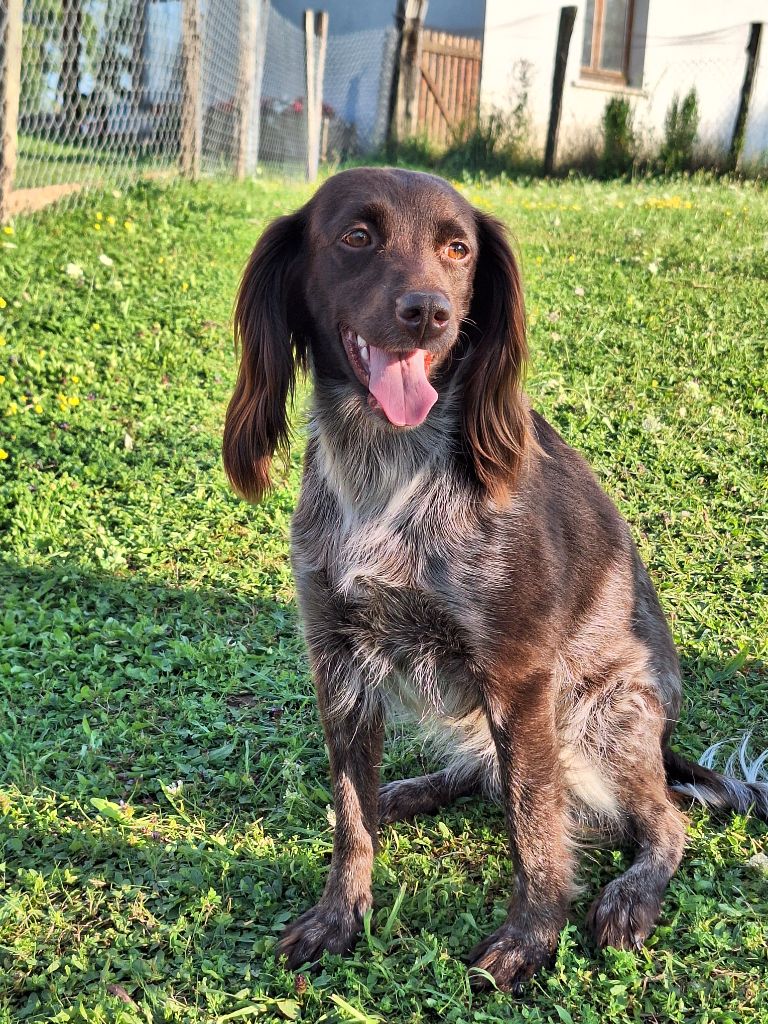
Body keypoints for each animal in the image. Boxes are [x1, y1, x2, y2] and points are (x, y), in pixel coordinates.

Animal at [221, 165, 765, 991]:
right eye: (357, 235)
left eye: (458, 249)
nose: (430, 313)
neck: (388, 467)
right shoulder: (339, 661)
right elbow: (352, 818)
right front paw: (340, 914)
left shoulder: (519, 673)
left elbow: (533, 825)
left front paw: (531, 939)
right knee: (479, 774)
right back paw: (408, 792)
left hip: (605, 714)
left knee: (663, 821)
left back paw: (632, 896)